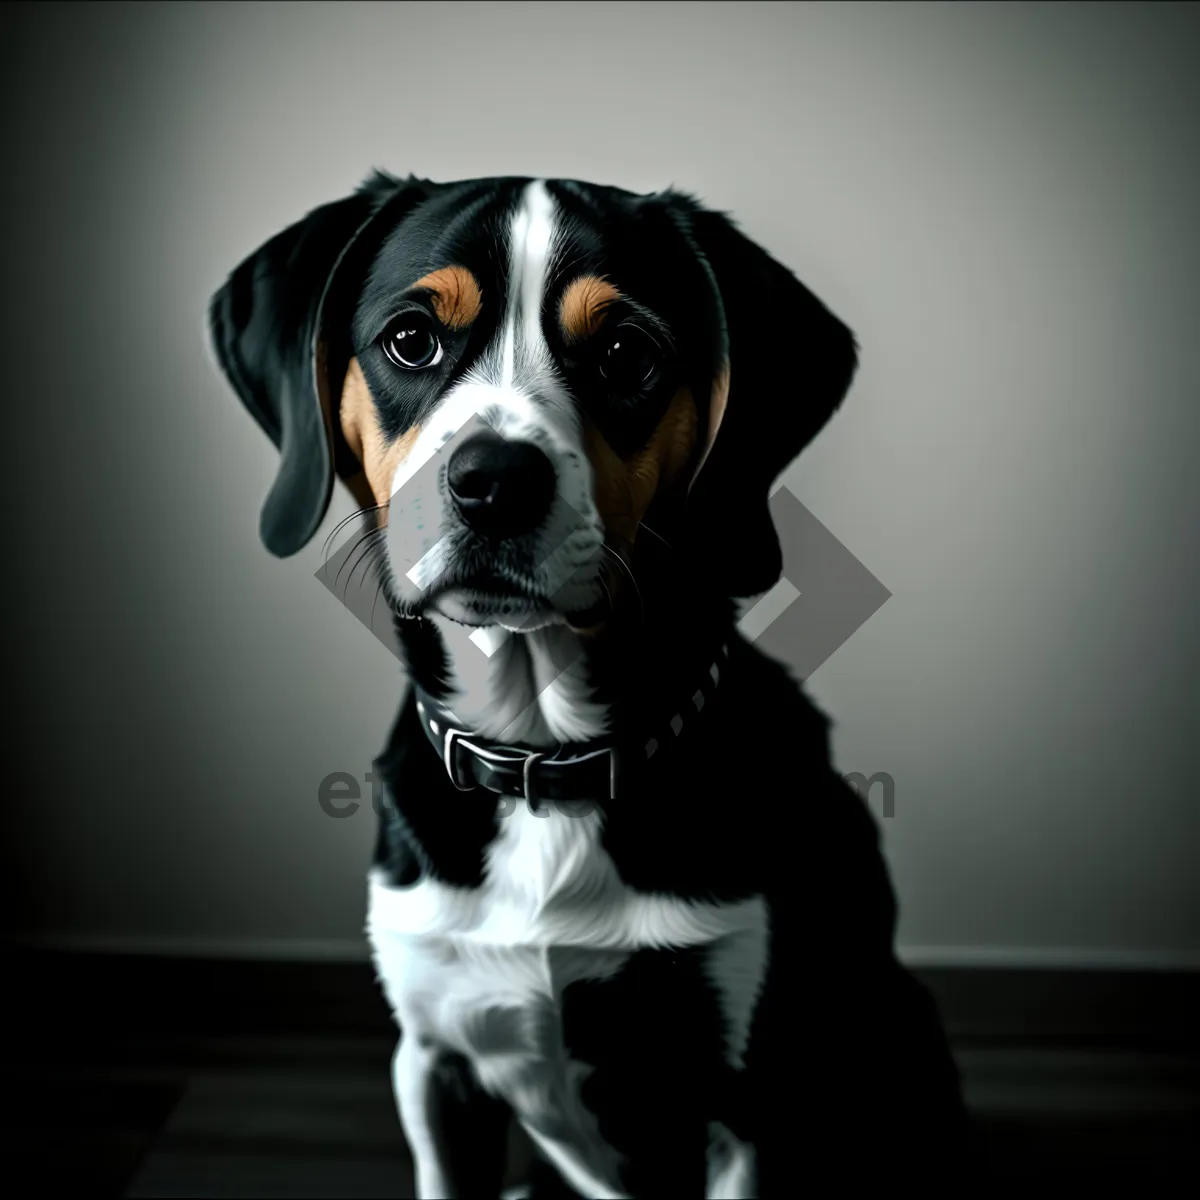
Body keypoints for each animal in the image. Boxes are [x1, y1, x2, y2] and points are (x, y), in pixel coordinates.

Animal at [208, 174, 974, 1195]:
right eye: (411, 339)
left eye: (625, 353)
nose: (493, 480)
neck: (547, 762)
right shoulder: (436, 1063)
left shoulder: (748, 1099)